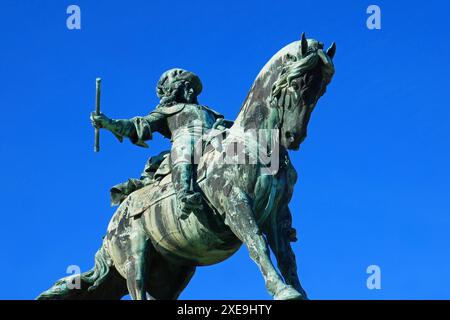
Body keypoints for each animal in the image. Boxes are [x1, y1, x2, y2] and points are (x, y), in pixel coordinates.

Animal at [38, 34, 334, 300]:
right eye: (296, 83)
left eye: (321, 89)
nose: (293, 137)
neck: (255, 143)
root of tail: (111, 224)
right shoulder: (235, 204)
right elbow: (257, 243)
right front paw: (282, 290)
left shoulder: (277, 215)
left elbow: (287, 258)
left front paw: (298, 291)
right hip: (134, 259)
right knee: (137, 288)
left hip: (173, 271)